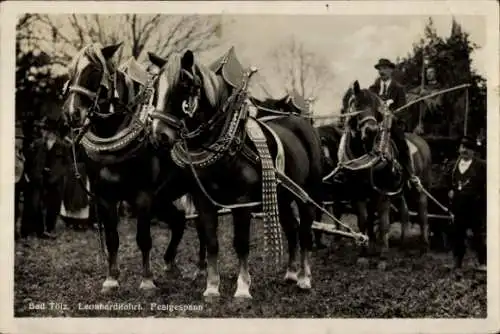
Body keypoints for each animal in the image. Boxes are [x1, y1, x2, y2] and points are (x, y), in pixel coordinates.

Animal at [61, 43, 206, 294]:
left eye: (94, 70)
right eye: (71, 72)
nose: (72, 113)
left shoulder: (144, 196)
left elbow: (143, 238)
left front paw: (147, 280)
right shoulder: (105, 197)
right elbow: (112, 238)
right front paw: (111, 279)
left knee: (201, 226)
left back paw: (201, 271)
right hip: (164, 198)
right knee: (178, 220)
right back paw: (170, 264)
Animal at [146, 50, 322, 300]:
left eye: (184, 84)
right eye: (155, 87)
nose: (158, 135)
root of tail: (303, 123)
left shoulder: (242, 202)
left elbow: (241, 244)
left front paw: (243, 287)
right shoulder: (203, 201)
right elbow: (212, 242)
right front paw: (211, 287)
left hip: (306, 194)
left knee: (306, 230)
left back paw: (304, 278)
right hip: (281, 197)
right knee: (292, 228)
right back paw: (290, 273)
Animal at [340, 81, 434, 268]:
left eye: (377, 107)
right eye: (357, 105)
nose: (371, 130)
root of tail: (422, 142)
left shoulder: (382, 193)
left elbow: (384, 223)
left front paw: (383, 257)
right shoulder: (358, 193)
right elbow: (364, 220)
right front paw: (365, 253)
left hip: (419, 189)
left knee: (422, 214)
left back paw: (424, 247)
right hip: (399, 191)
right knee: (405, 213)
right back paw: (403, 244)